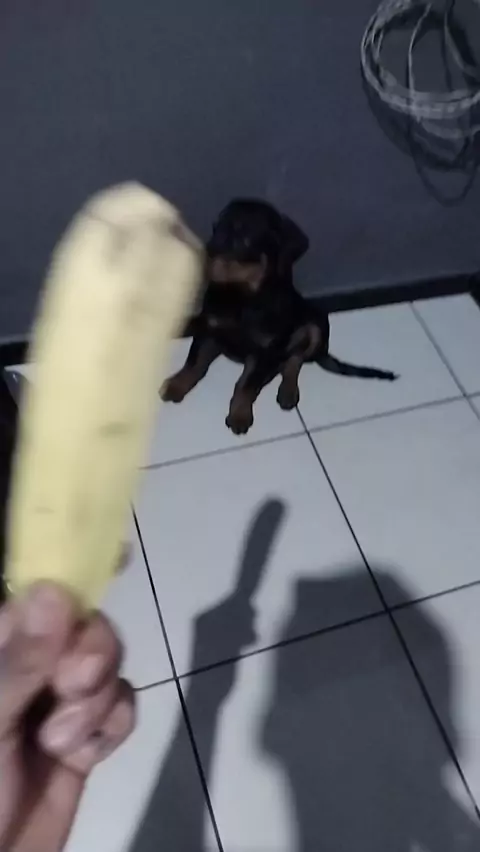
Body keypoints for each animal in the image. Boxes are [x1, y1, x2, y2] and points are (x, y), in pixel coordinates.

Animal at [161, 199, 397, 435]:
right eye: (215, 228)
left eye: (243, 238)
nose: (197, 258)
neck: (243, 297)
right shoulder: (209, 330)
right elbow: (194, 364)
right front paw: (175, 386)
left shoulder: (265, 350)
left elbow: (246, 385)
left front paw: (240, 414)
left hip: (316, 324)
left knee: (295, 360)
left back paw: (288, 391)